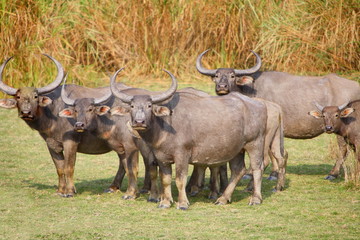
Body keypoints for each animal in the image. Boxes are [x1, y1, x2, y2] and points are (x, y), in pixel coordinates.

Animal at [0, 55, 142, 197]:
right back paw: (113, 187)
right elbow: (60, 168)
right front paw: (60, 190)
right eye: (18, 97)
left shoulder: (70, 142)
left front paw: (69, 191)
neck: (54, 115)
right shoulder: (51, 144)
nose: (26, 112)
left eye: (35, 96)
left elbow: (69, 167)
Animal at [109, 68, 268, 209]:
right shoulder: (162, 158)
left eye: (149, 106)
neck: (164, 126)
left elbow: (180, 179)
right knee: (238, 170)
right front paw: (165, 202)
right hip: (236, 149)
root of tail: (259, 104)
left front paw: (182, 203)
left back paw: (255, 199)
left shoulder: (182, 155)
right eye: (132, 106)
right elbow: (165, 179)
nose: (139, 122)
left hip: (255, 143)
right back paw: (223, 198)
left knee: (257, 168)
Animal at [195, 49, 360, 180]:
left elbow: (268, 150)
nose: (222, 87)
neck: (250, 90)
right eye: (217, 75)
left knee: (343, 150)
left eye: (232, 76)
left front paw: (264, 173)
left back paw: (333, 174)